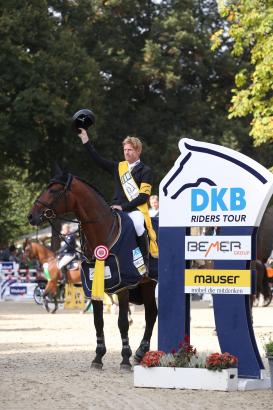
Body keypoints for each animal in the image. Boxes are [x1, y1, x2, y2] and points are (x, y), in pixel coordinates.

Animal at [27, 170, 157, 368]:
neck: (104, 230)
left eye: (53, 190)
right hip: (146, 284)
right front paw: (98, 357)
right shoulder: (93, 284)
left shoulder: (124, 286)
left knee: (151, 314)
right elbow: (98, 321)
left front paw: (125, 358)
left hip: (150, 282)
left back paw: (139, 353)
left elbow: (122, 322)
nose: (31, 216)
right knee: (151, 313)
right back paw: (141, 353)